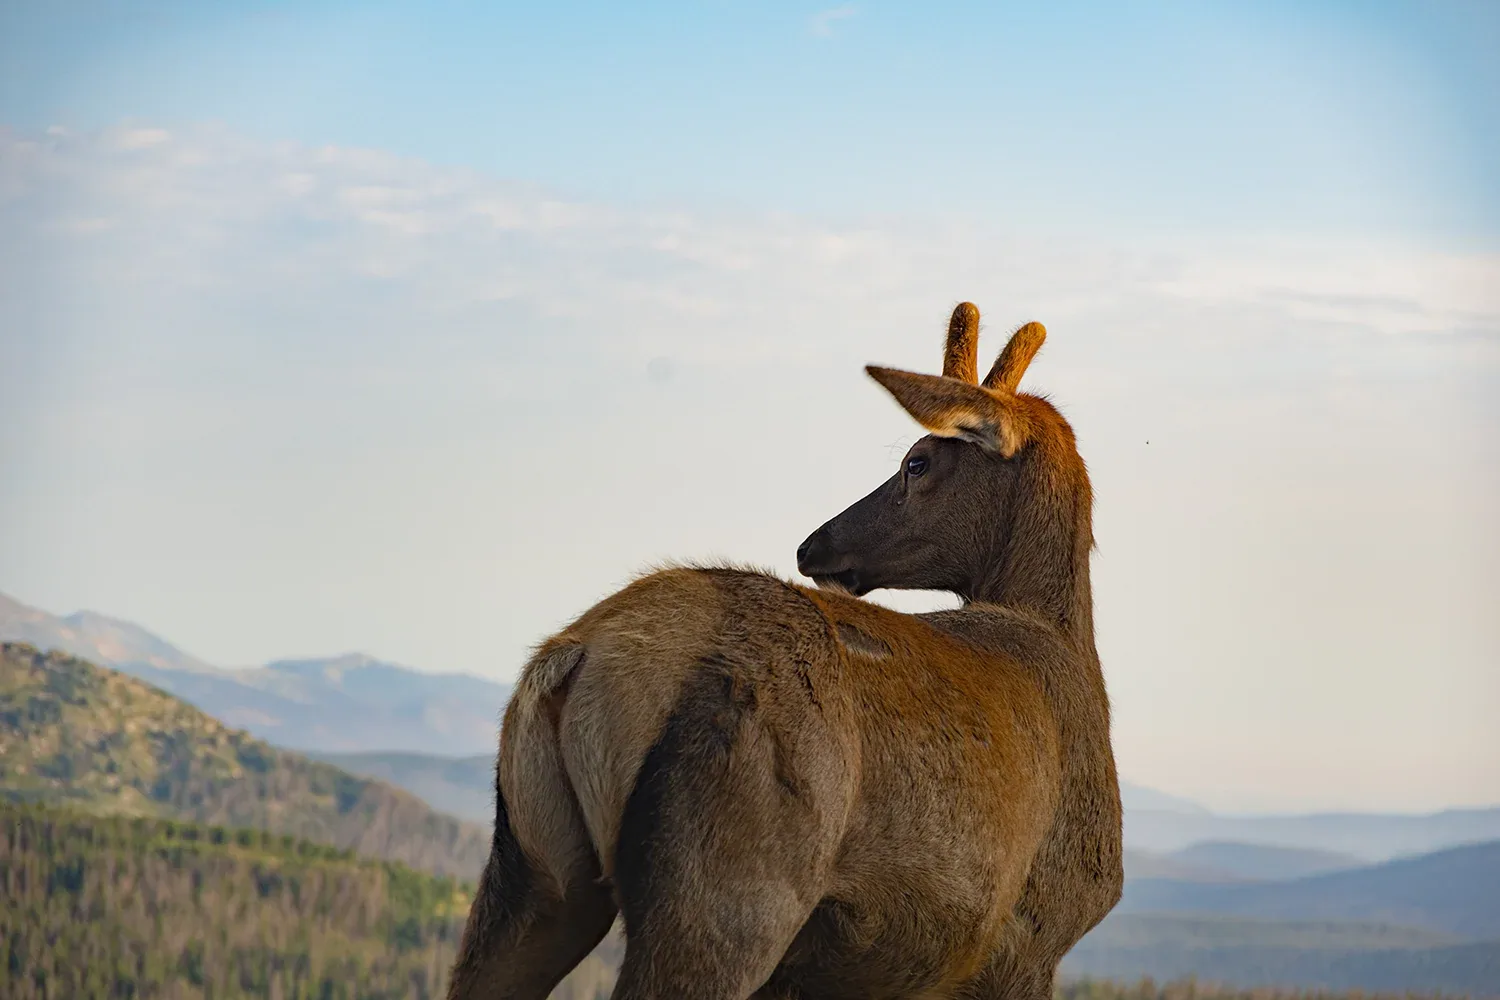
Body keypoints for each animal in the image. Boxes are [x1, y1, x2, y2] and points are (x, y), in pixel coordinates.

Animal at [447, 303, 1123, 1000]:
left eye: (916, 464)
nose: (813, 545)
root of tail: (575, 655)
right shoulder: (1031, 938)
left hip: (533, 877)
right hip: (736, 875)